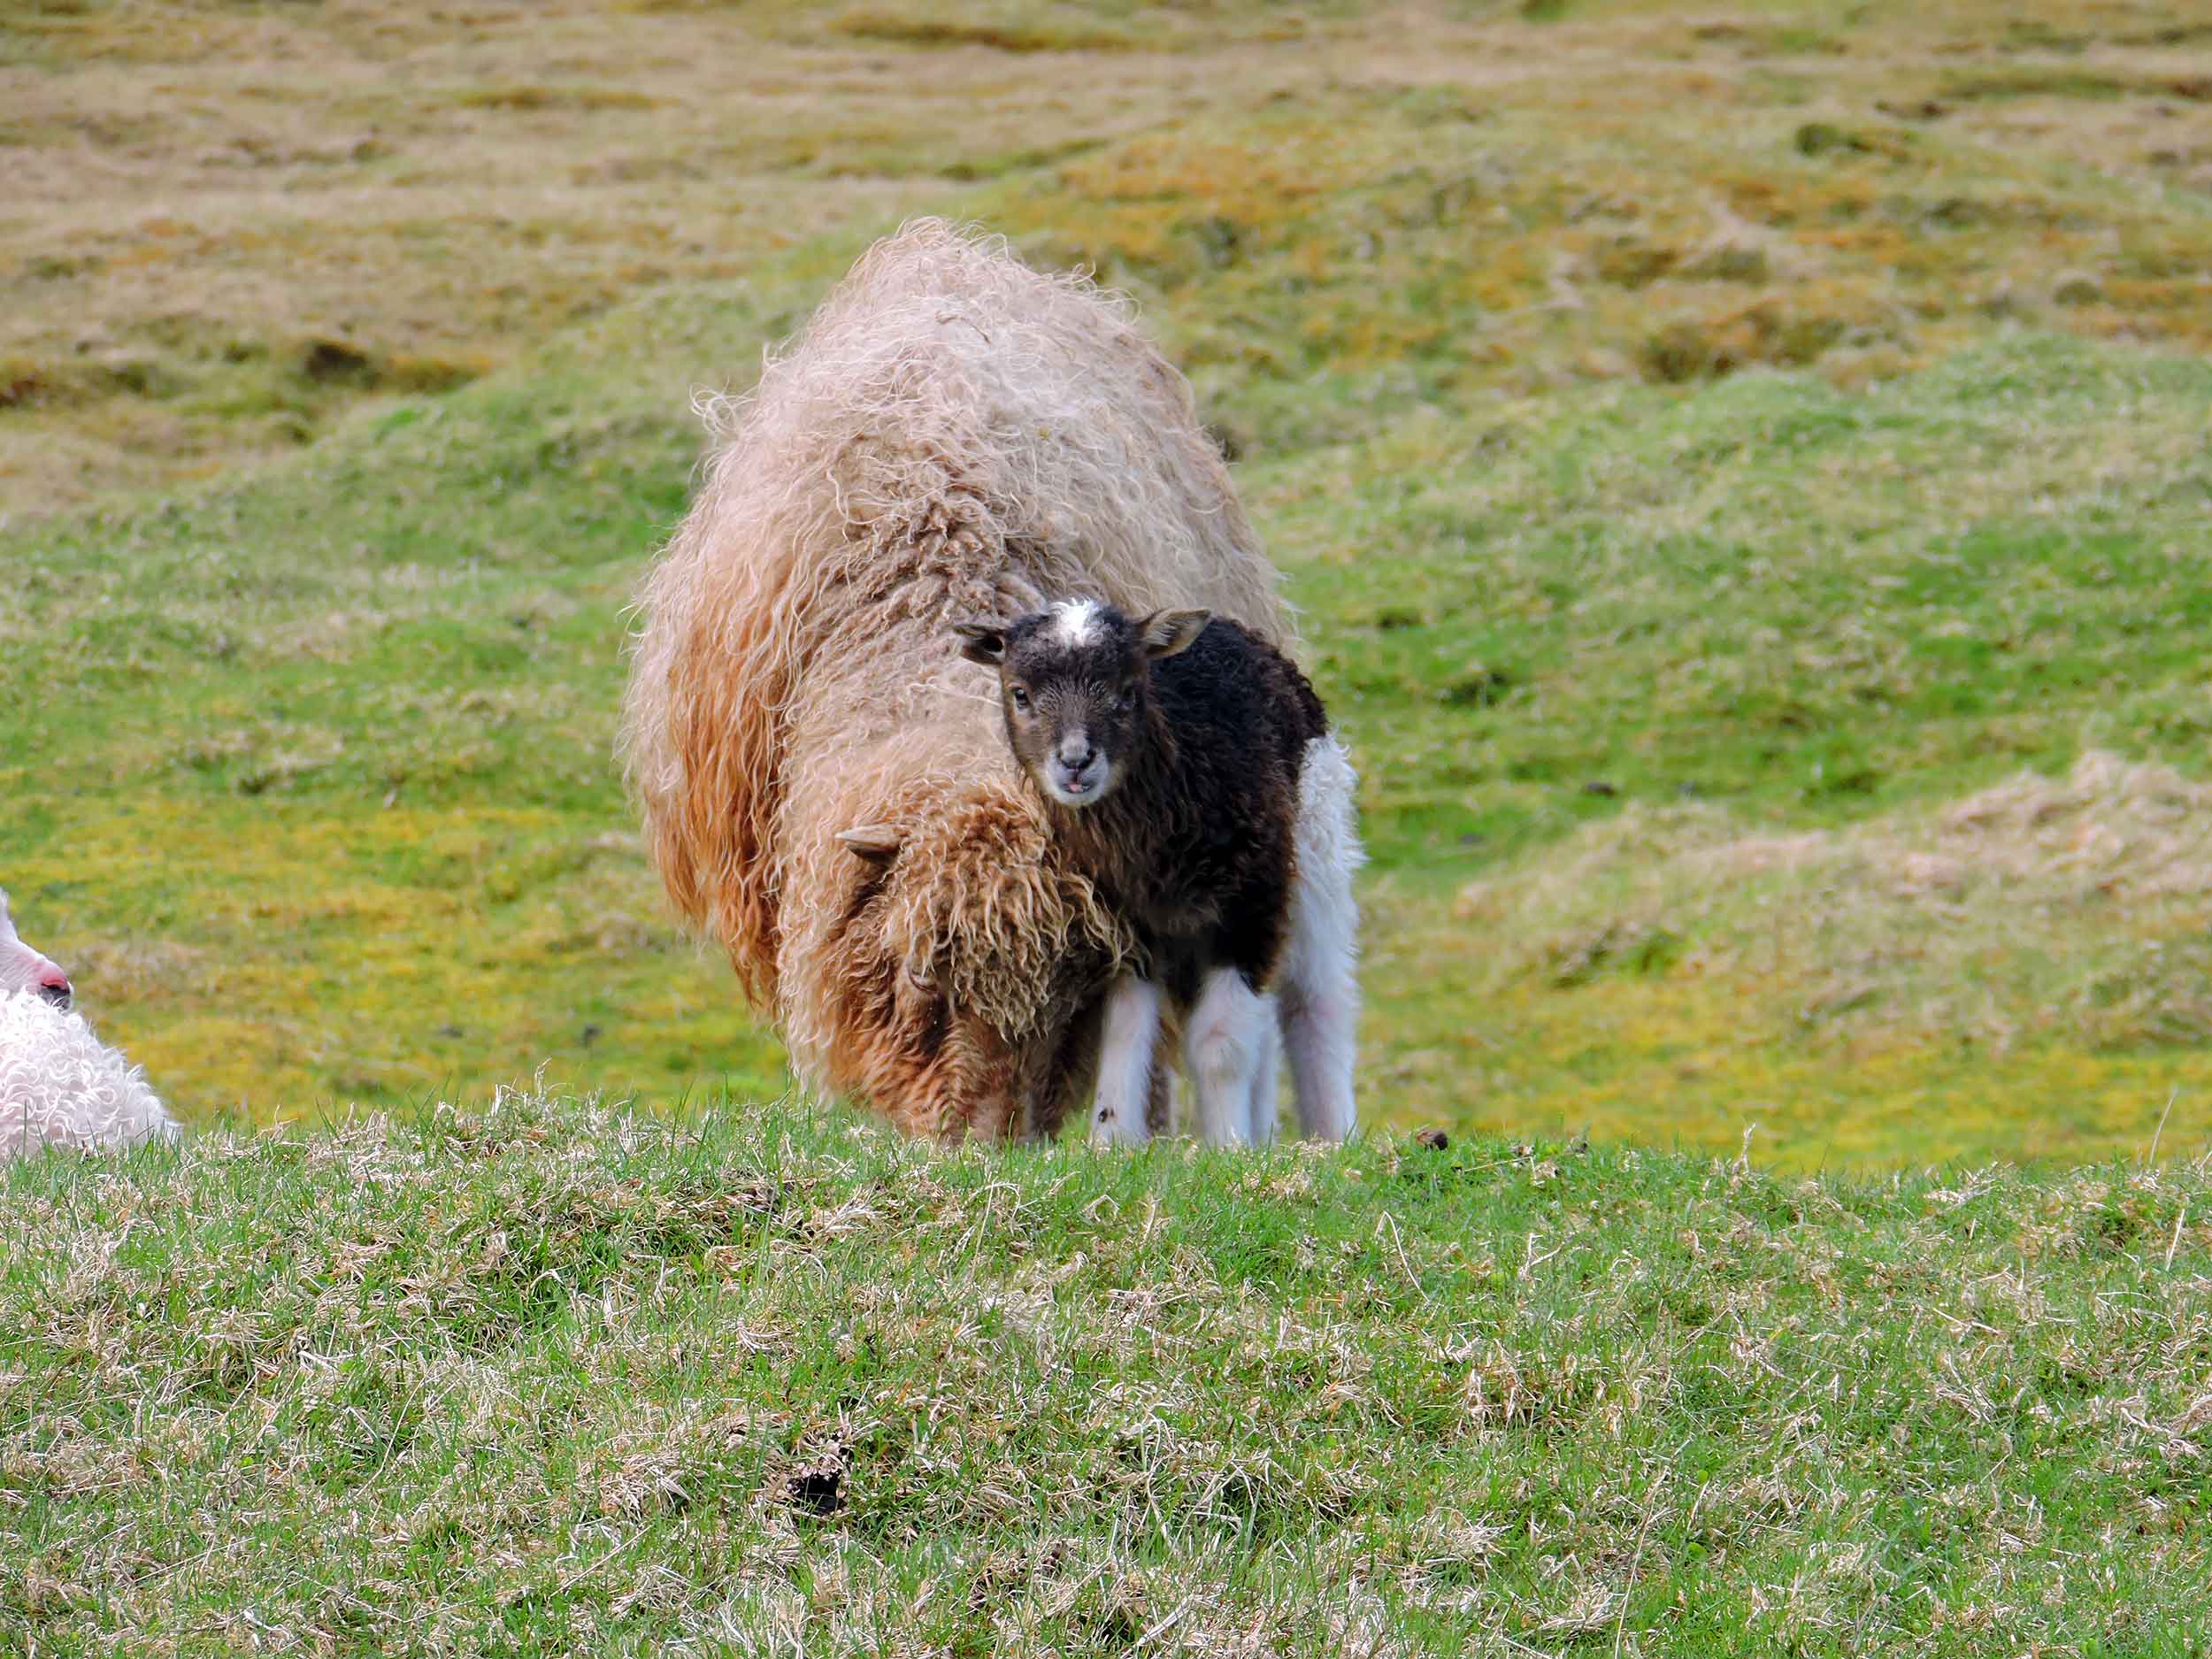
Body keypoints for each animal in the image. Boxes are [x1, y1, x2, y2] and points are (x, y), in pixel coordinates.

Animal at [954, 599, 1363, 1147]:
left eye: (1128, 691)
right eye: (1019, 693)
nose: (1076, 762)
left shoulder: (1249, 910)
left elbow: (1221, 1045)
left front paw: (1228, 1145)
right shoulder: (1124, 929)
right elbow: (1126, 1031)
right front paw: (1110, 1139)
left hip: (1317, 856)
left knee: (1317, 1001)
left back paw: (1333, 1134)